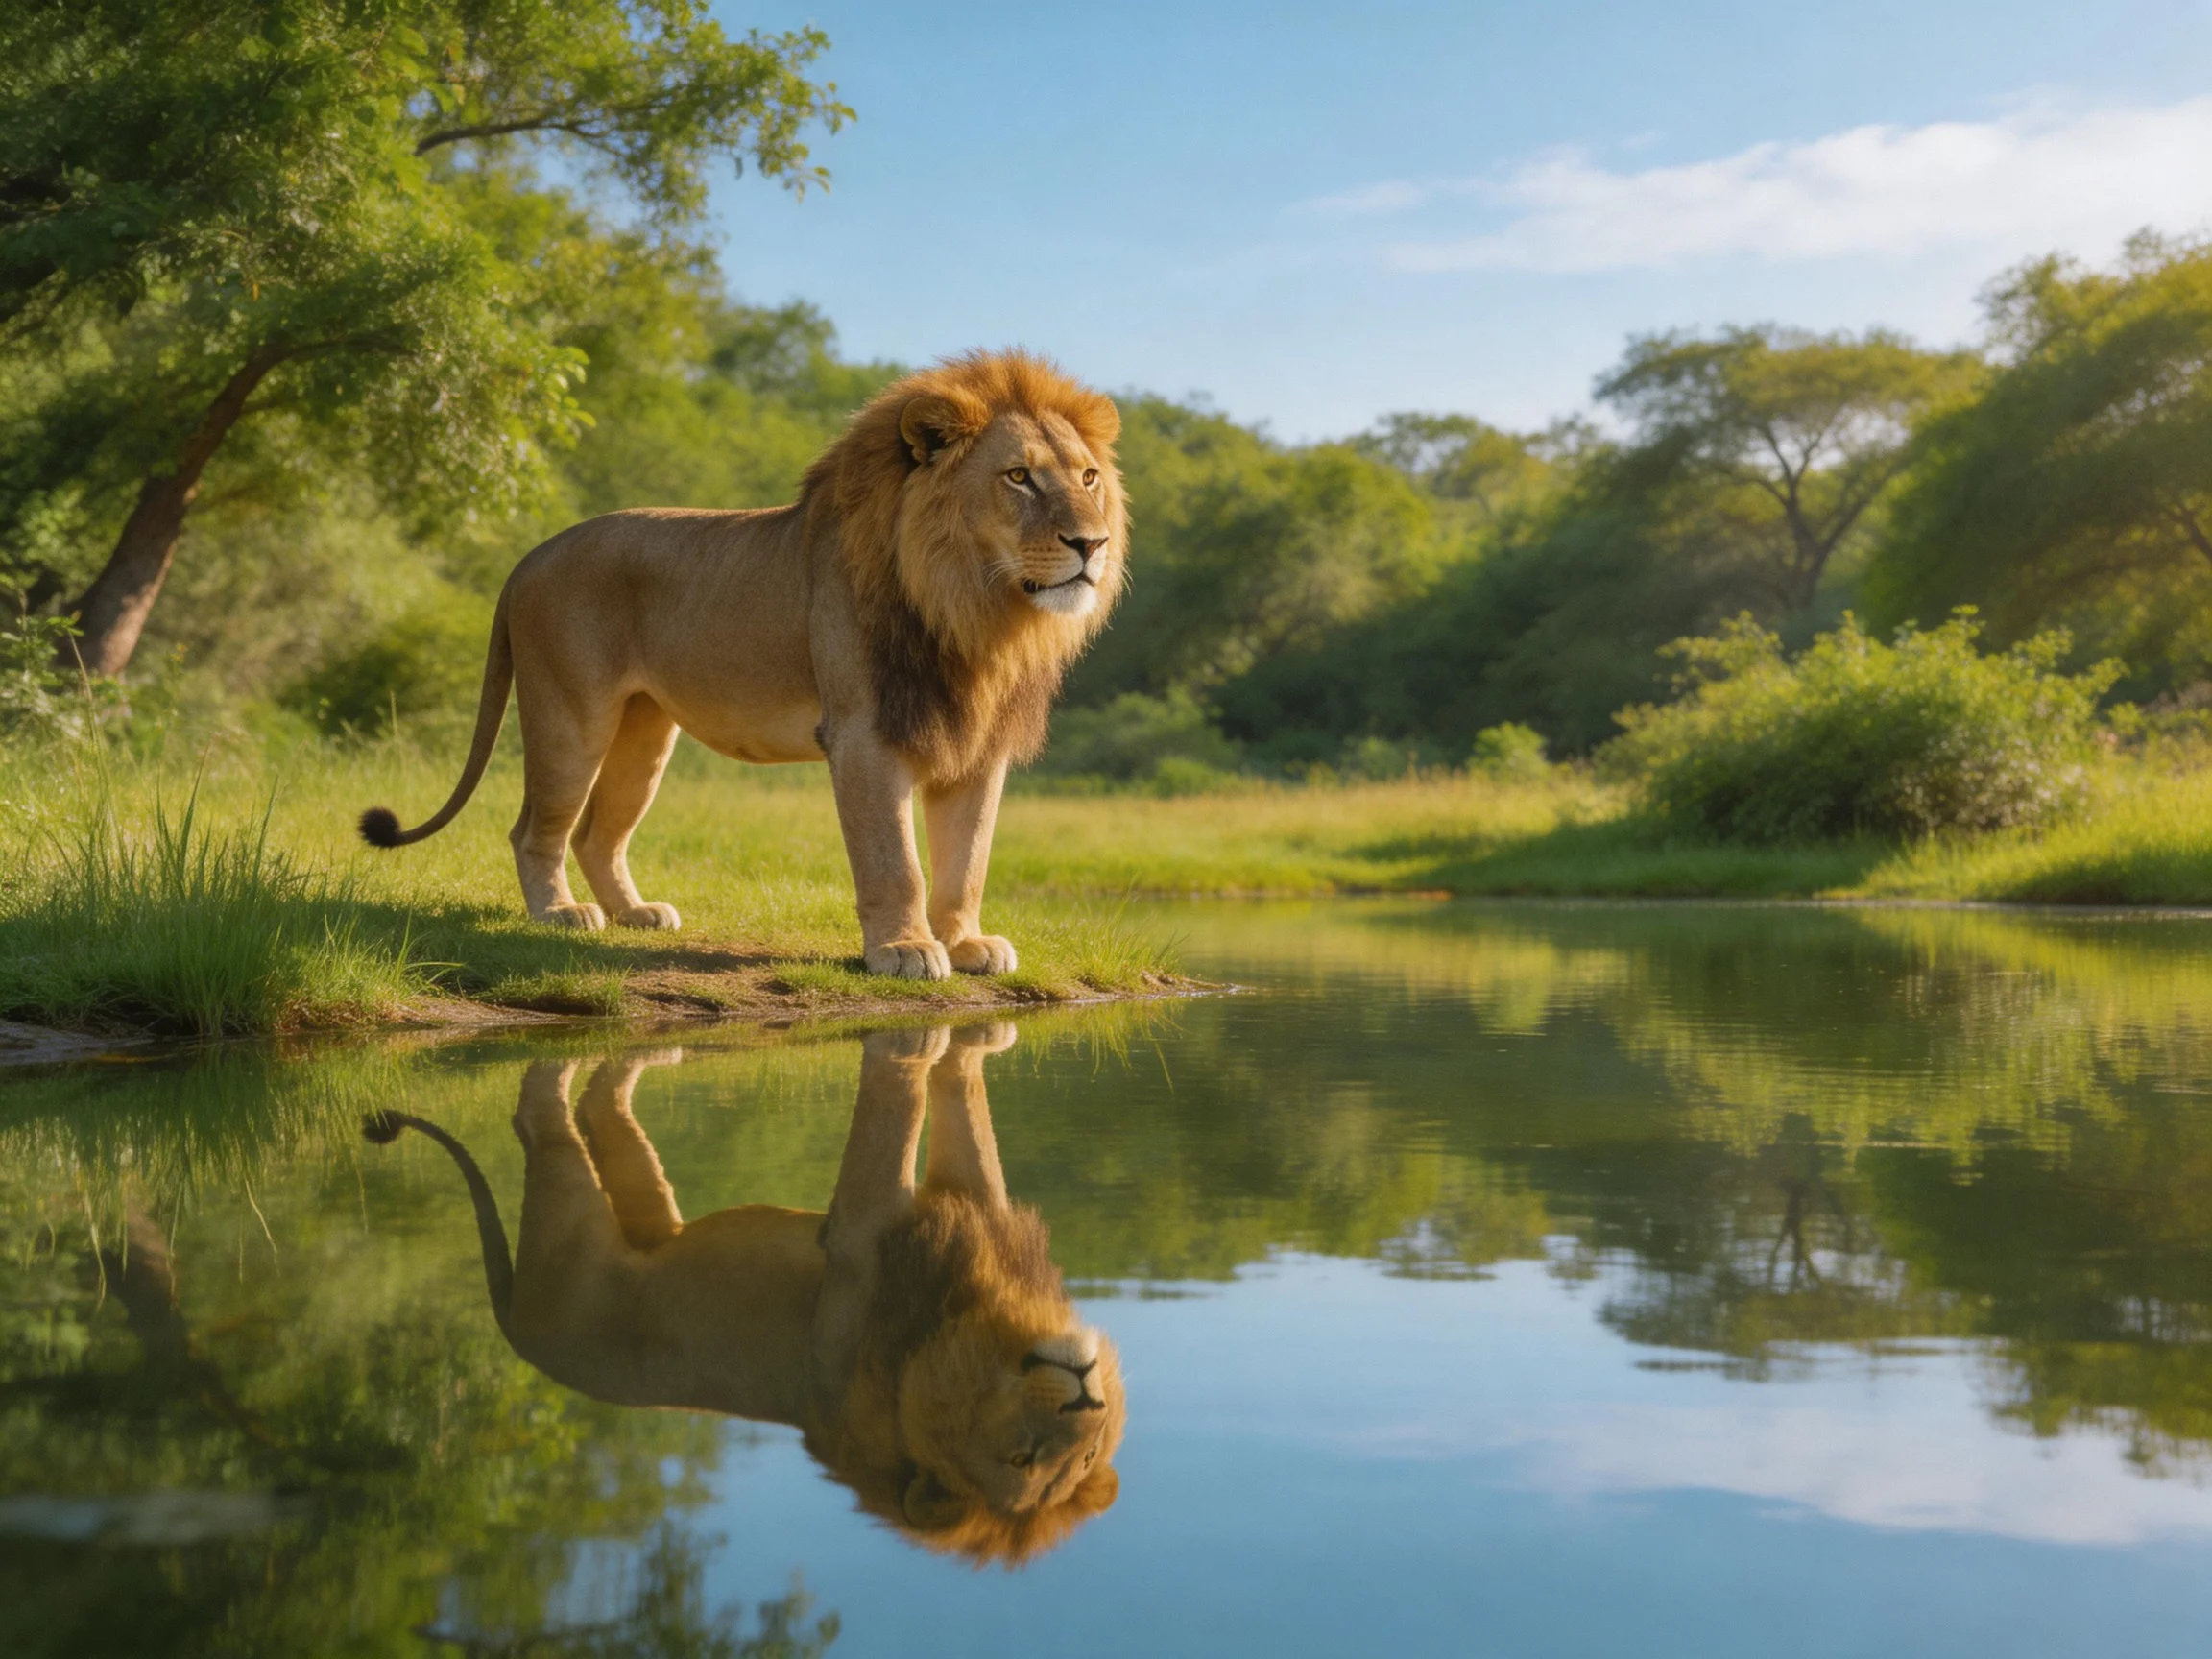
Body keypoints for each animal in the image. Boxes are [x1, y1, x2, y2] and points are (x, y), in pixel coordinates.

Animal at [357, 350, 1127, 980]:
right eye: (1019, 477)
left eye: (1089, 476)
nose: (1092, 544)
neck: (975, 610)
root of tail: (530, 557)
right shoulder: (864, 735)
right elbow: (894, 862)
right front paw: (904, 949)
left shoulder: (976, 742)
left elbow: (967, 861)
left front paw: (966, 944)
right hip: (570, 716)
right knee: (536, 829)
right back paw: (560, 915)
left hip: (645, 733)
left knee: (596, 833)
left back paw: (637, 914)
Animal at [363, 1024, 1124, 1565]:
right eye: (1021, 1456)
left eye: (1083, 1459)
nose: (1085, 1399)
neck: (950, 1329)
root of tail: (513, 1334)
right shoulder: (858, 1233)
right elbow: (902, 1104)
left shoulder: (968, 1208)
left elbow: (965, 1106)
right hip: (567, 1210)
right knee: (537, 1122)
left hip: (645, 1211)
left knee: (600, 1109)